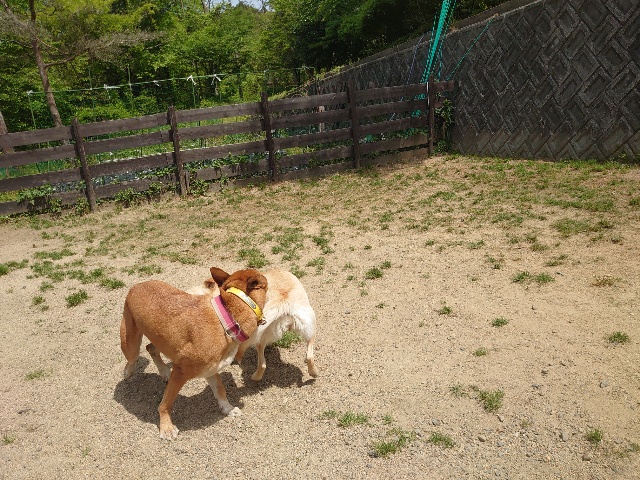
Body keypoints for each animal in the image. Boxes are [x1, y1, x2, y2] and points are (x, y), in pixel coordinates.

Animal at [120, 267, 268, 440]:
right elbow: (165, 403)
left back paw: (164, 371)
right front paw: (166, 427)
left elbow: (220, 389)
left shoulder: (211, 369)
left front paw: (228, 409)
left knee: (151, 347)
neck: (227, 319)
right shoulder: (180, 372)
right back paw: (129, 371)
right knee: (133, 358)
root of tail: (137, 285)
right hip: (131, 343)